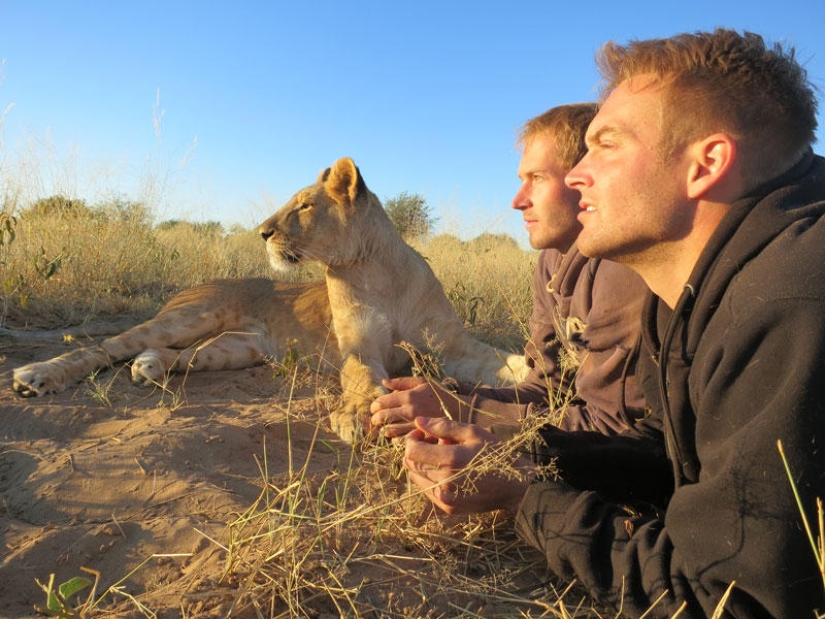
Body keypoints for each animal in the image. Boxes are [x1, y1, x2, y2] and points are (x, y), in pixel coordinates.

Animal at [258, 156, 527, 440]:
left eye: (305, 206)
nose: (262, 232)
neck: (377, 274)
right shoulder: (360, 344)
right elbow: (360, 373)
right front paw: (357, 412)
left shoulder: (453, 346)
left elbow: (500, 360)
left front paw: (536, 368)